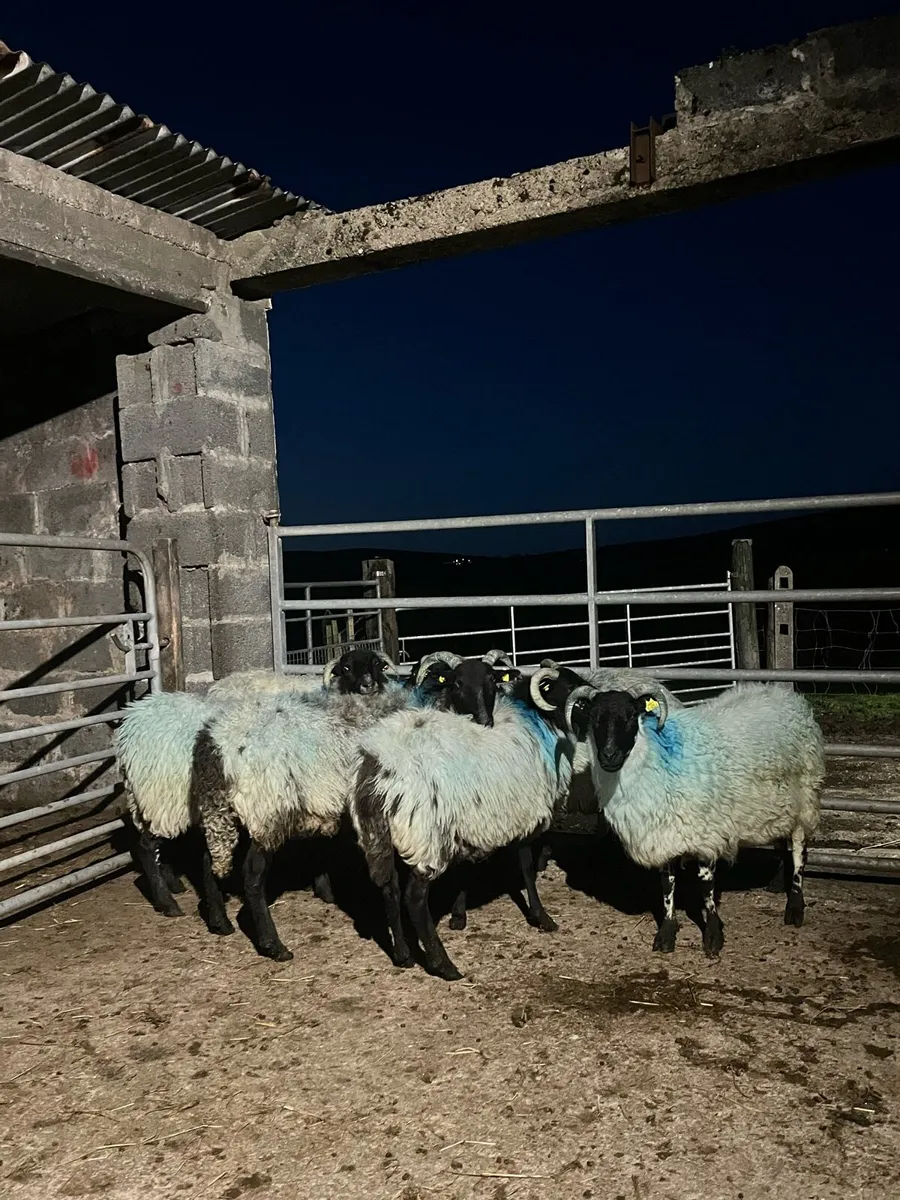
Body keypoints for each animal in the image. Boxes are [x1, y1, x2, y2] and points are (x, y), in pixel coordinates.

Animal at [192, 649, 520, 960]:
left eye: (492, 682)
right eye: (457, 683)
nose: (485, 722)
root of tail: (216, 739)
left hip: (224, 809)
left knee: (209, 857)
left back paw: (220, 922)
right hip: (267, 811)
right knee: (252, 876)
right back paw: (274, 946)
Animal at [349, 666, 595, 980]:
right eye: (577, 698)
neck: (540, 724)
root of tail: (378, 763)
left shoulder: (471, 824)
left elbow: (463, 872)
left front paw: (459, 914)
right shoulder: (526, 817)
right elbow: (527, 870)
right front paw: (543, 918)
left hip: (378, 835)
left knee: (389, 890)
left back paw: (403, 956)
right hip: (426, 835)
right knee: (414, 899)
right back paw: (444, 965)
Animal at [571, 683, 825, 956]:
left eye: (630, 717)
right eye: (594, 718)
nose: (609, 755)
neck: (658, 758)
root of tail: (784, 693)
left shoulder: (706, 833)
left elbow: (706, 887)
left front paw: (713, 936)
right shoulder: (667, 835)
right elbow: (667, 886)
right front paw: (666, 934)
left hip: (805, 796)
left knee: (798, 849)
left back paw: (795, 906)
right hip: (777, 805)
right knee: (780, 838)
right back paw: (777, 883)